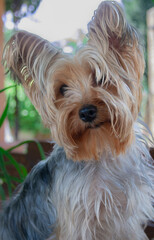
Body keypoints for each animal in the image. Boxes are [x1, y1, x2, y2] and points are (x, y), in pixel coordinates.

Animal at [0, 0, 154, 239]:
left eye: (101, 78)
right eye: (62, 89)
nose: (86, 112)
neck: (100, 150)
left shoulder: (126, 222)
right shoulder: (77, 223)